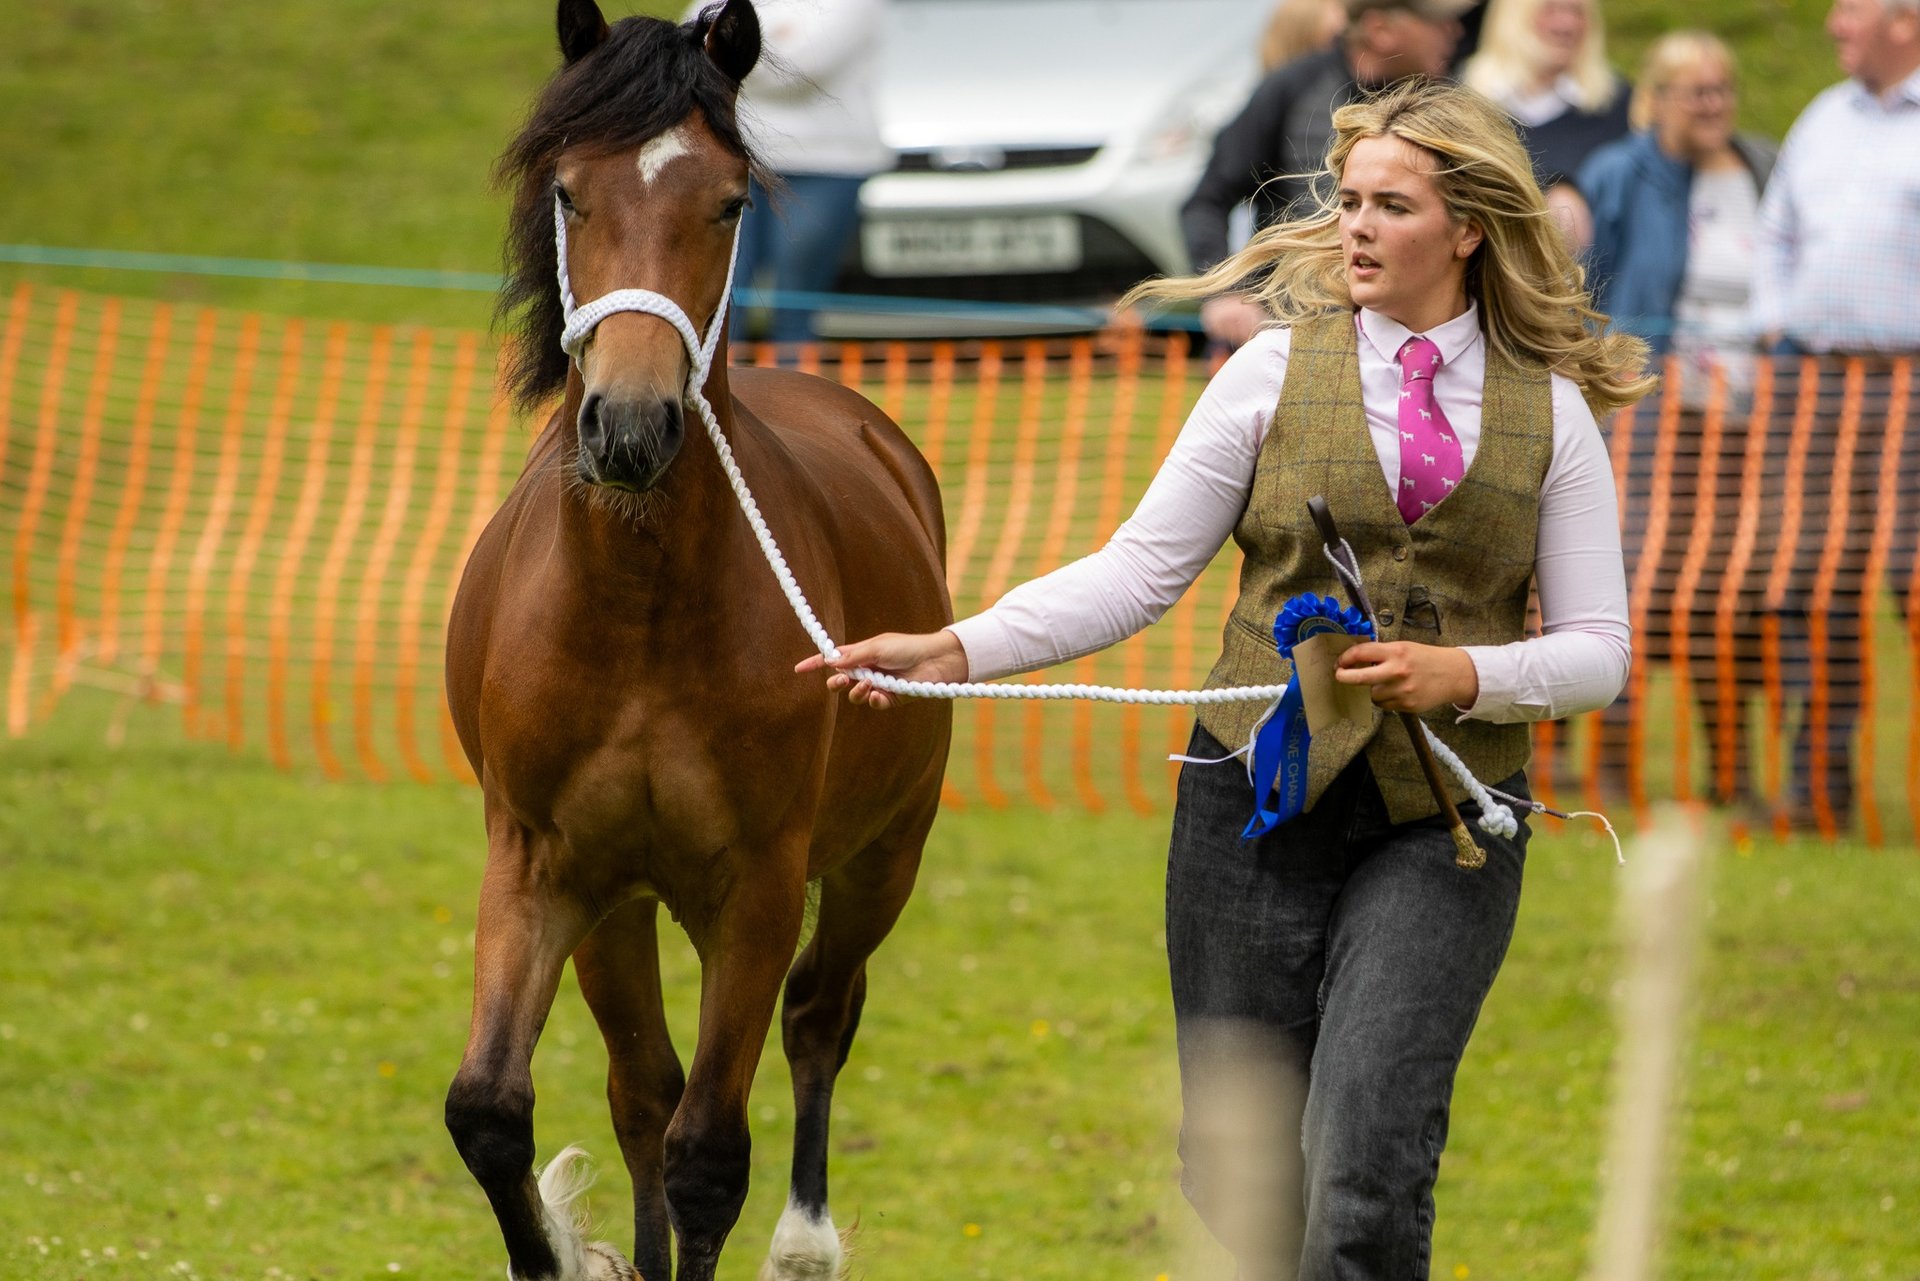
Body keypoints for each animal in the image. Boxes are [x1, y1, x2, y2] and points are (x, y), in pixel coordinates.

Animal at [441, 3, 952, 1278]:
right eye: (569, 192)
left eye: (726, 203)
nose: (629, 426)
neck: (639, 618)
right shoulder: (544, 868)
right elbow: (495, 1112)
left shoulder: (756, 889)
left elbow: (710, 1156)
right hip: (622, 909)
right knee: (641, 1092)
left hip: (881, 858)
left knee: (818, 1020)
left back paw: (807, 1243)